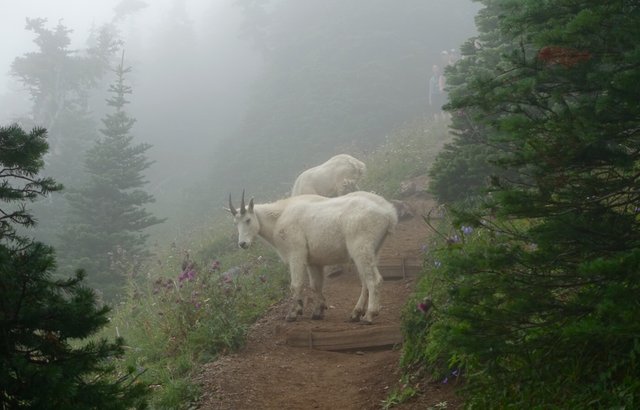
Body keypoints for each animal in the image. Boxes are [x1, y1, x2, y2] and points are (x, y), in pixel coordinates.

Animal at [226, 191, 396, 324]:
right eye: (235, 223)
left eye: (248, 220)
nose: (243, 243)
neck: (278, 218)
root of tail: (389, 213)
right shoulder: (313, 262)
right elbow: (316, 285)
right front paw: (318, 311)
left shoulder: (296, 253)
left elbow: (296, 284)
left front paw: (293, 313)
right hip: (373, 251)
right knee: (365, 281)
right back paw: (356, 313)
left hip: (361, 248)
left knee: (374, 280)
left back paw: (369, 315)